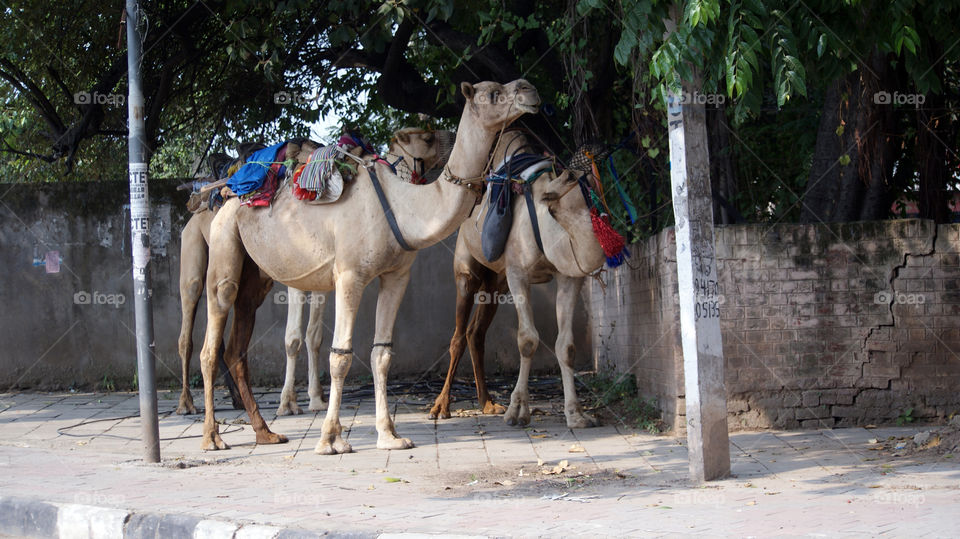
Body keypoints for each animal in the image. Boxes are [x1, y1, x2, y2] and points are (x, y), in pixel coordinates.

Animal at [177, 130, 449, 417]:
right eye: (427, 138)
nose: (451, 140)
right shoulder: (296, 273)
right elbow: (293, 337)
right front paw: (287, 403)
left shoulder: (321, 278)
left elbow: (314, 336)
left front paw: (316, 398)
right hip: (195, 249)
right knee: (188, 320)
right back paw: (186, 403)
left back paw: (237, 400)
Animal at [428, 129, 607, 428]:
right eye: (556, 208)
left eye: (595, 196)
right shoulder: (518, 274)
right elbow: (527, 340)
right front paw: (517, 411)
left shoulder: (568, 276)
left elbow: (566, 346)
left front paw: (577, 415)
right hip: (467, 268)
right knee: (458, 335)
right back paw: (440, 406)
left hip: (496, 282)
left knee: (475, 333)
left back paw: (488, 403)